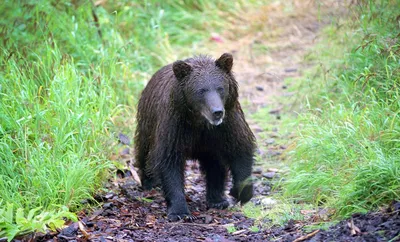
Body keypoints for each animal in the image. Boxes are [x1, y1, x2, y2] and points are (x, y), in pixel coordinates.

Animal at [135, 52, 256, 221]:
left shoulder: (227, 125)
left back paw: (217, 199)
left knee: (215, 165)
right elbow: (169, 162)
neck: (200, 123)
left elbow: (240, 150)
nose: (217, 112)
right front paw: (179, 211)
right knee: (144, 152)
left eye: (220, 88)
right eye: (201, 90)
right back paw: (149, 181)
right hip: (148, 123)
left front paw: (240, 193)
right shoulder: (174, 127)